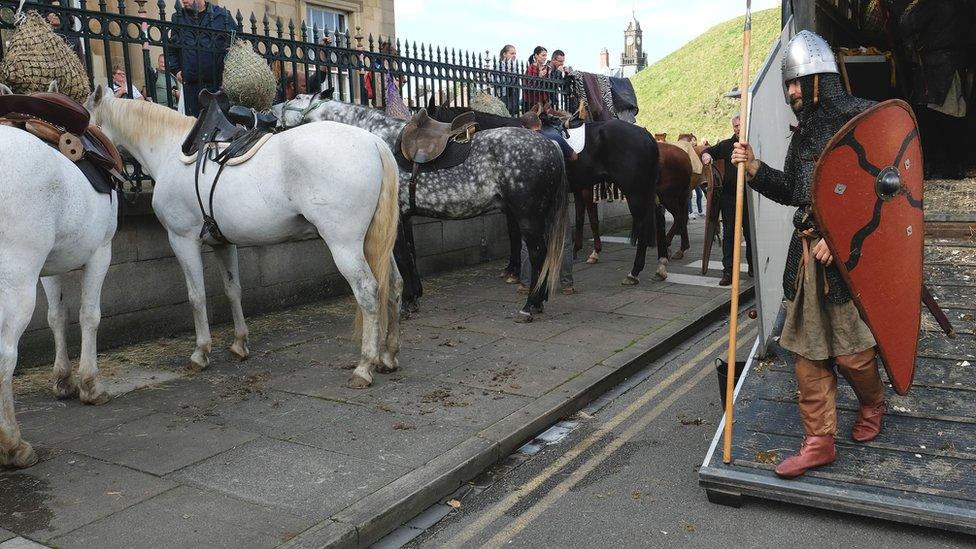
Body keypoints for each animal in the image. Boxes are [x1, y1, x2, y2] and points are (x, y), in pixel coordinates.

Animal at [0, 84, 118, 466]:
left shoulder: (49, 270)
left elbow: (56, 316)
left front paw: (64, 380)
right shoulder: (100, 254)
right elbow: (89, 316)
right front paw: (90, 385)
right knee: (5, 355)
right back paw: (14, 445)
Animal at [85, 84, 400, 386]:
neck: (170, 150)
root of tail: (374, 143)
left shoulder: (182, 240)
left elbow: (196, 296)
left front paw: (200, 353)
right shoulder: (223, 243)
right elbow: (232, 290)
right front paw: (239, 344)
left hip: (344, 245)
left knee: (368, 291)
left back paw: (364, 366)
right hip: (375, 241)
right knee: (394, 285)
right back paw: (388, 356)